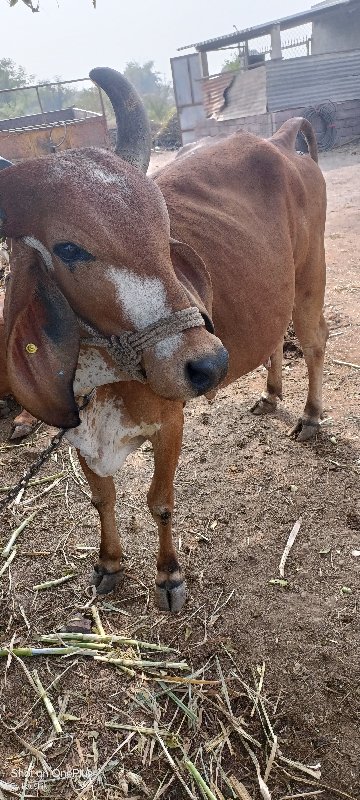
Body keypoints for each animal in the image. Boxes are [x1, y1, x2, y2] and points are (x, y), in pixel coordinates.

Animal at [0, 69, 328, 612]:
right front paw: (109, 564)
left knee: (316, 342)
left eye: (162, 223)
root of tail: (279, 142)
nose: (208, 364)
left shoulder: (170, 425)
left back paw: (310, 416)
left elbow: (160, 504)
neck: (102, 379)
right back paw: (270, 395)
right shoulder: (78, 434)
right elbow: (103, 499)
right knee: (273, 343)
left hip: (310, 280)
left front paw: (169, 575)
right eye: (69, 249)